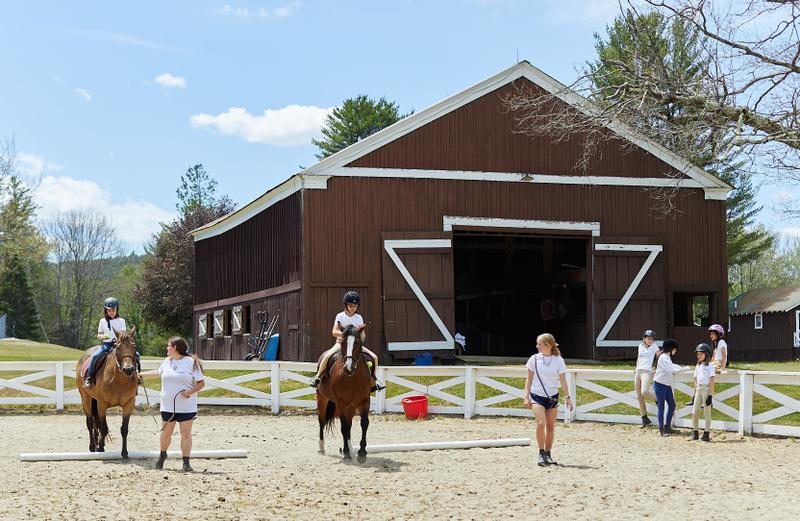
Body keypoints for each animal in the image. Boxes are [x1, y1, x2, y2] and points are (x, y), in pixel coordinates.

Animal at [76, 328, 140, 458]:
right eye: (118, 347)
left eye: (134, 346)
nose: (128, 369)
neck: (119, 380)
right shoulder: (102, 404)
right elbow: (104, 427)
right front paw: (100, 448)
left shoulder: (129, 404)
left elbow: (124, 429)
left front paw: (124, 452)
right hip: (86, 398)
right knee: (90, 422)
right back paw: (92, 447)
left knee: (96, 423)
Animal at [316, 322, 372, 462]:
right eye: (342, 342)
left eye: (357, 342)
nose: (348, 368)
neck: (352, 377)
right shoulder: (340, 403)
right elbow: (343, 427)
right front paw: (346, 454)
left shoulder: (365, 400)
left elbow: (364, 423)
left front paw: (362, 453)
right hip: (322, 399)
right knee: (322, 421)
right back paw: (321, 448)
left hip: (351, 406)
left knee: (349, 425)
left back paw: (352, 449)